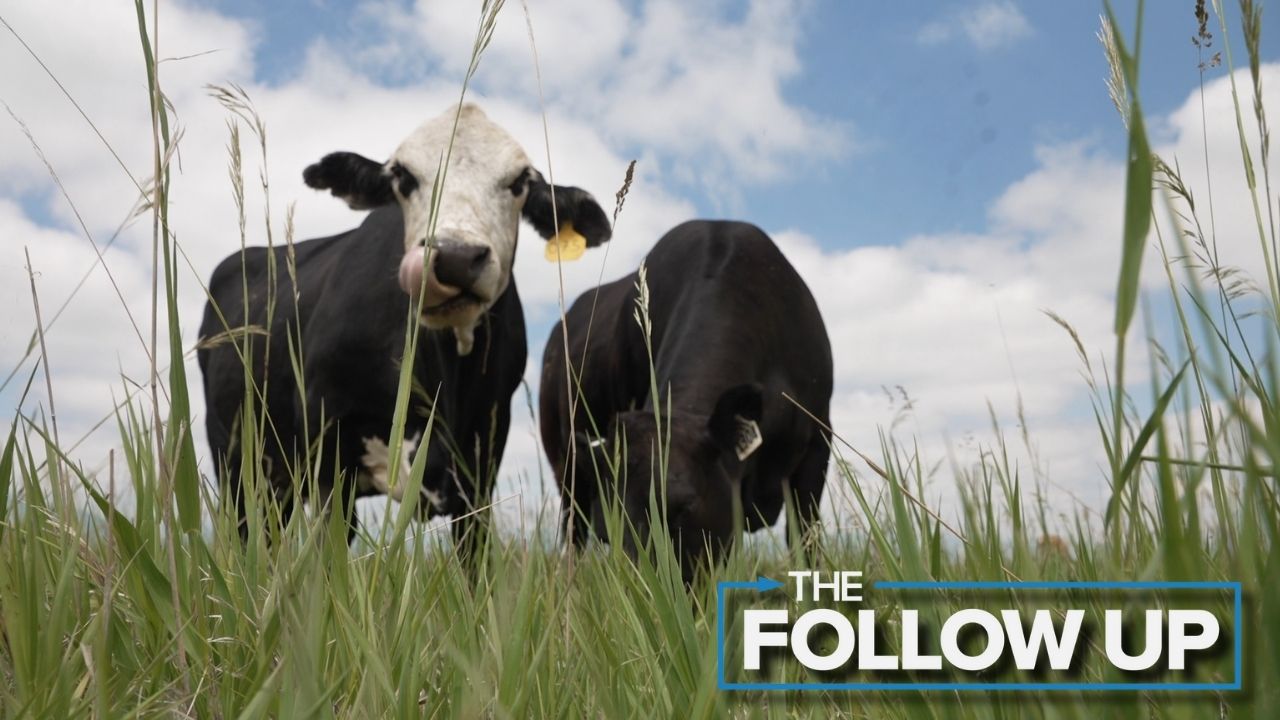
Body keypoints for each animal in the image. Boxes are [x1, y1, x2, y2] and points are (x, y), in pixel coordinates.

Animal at [198, 103, 611, 556]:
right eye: (403, 176)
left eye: (520, 181)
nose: (456, 257)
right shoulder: (328, 448)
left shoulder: (483, 455)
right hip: (238, 463)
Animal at [539, 220, 832, 581]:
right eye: (608, 530)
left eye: (682, 506)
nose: (646, 590)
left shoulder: (819, 441)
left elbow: (805, 538)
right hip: (565, 464)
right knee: (573, 532)